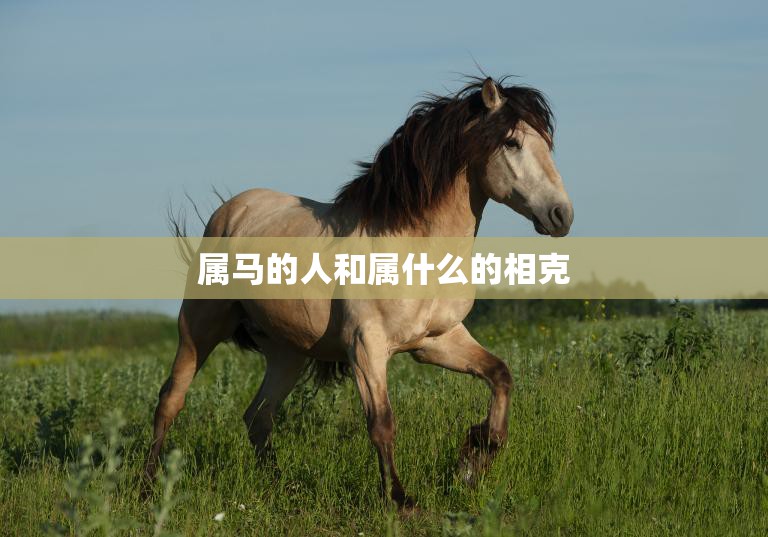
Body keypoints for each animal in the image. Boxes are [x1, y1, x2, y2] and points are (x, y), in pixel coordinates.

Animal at [143, 77, 573, 510]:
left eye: (547, 142)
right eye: (512, 142)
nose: (561, 216)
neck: (415, 245)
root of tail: (231, 211)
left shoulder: (436, 341)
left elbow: (500, 375)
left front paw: (473, 460)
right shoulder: (366, 345)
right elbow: (382, 423)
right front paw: (401, 501)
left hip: (287, 352)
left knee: (258, 416)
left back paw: (281, 487)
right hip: (200, 328)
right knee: (171, 400)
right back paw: (146, 487)